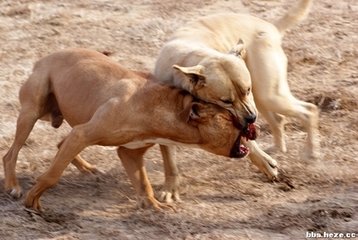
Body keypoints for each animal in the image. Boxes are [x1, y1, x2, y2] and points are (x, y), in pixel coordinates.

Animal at [2, 48, 250, 210]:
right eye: (228, 115)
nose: (251, 121)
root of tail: (42, 59)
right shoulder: (84, 134)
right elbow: (52, 175)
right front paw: (33, 200)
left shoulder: (129, 152)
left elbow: (143, 182)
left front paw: (153, 205)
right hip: (32, 114)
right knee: (11, 154)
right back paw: (13, 185)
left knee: (60, 143)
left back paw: (88, 168)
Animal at [154, 0, 318, 202]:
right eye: (226, 101)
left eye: (246, 90)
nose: (251, 118)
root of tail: (270, 26)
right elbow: (170, 163)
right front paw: (170, 189)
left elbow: (248, 143)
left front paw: (267, 165)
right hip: (262, 100)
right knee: (279, 119)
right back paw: (278, 149)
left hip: (268, 96)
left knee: (309, 110)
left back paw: (310, 152)